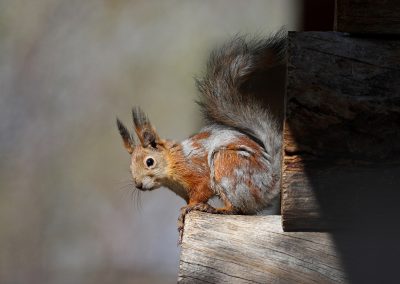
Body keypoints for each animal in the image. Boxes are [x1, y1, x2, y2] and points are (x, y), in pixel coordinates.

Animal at [117, 31, 286, 244]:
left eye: (149, 162)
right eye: (130, 167)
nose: (138, 185)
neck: (172, 163)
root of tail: (269, 183)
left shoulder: (198, 173)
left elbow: (201, 191)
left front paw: (190, 208)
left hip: (228, 165)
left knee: (237, 209)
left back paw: (213, 208)